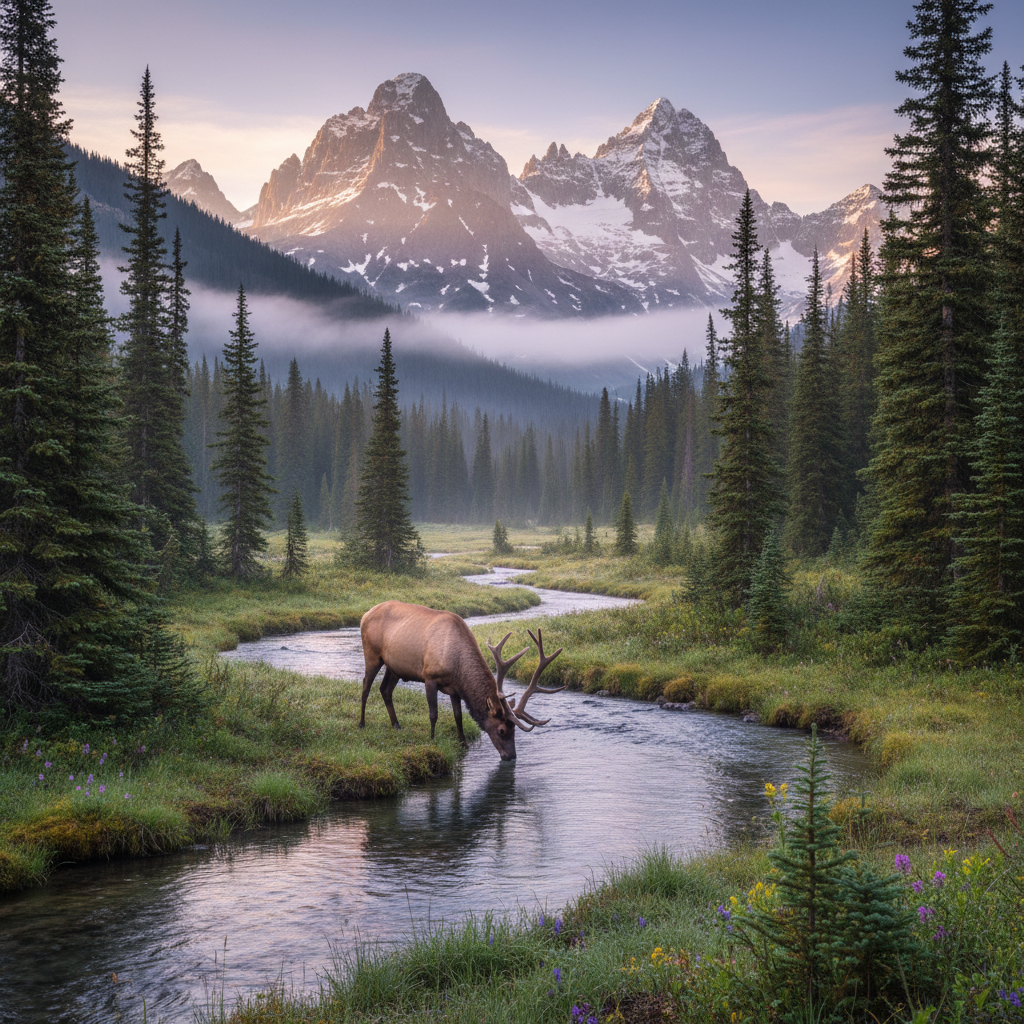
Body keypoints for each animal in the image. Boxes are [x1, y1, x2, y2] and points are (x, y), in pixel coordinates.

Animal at [358, 600, 565, 760]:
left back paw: (397, 725)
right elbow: (433, 713)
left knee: (385, 690)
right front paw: (432, 739)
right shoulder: (429, 676)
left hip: (394, 667)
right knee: (365, 687)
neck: (457, 666)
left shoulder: (455, 689)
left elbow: (458, 716)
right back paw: (362, 723)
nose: (511, 756)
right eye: (502, 730)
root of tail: (365, 614)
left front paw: (463, 743)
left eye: (514, 731)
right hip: (372, 654)